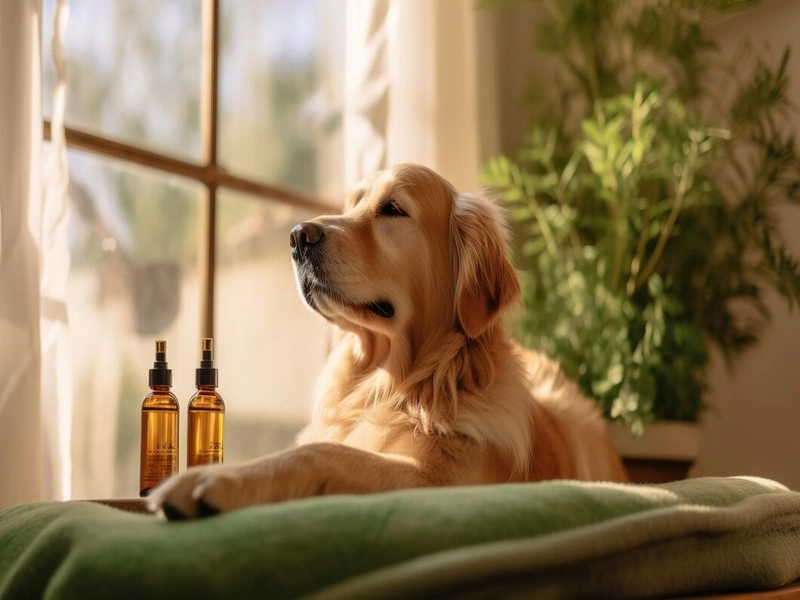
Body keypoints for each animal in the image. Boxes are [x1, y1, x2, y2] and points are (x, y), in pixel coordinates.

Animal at [148, 164, 624, 520]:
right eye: (353, 204)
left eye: (393, 209)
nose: (298, 236)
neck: (398, 385)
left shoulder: (437, 481)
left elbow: (323, 454)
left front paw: (213, 480)